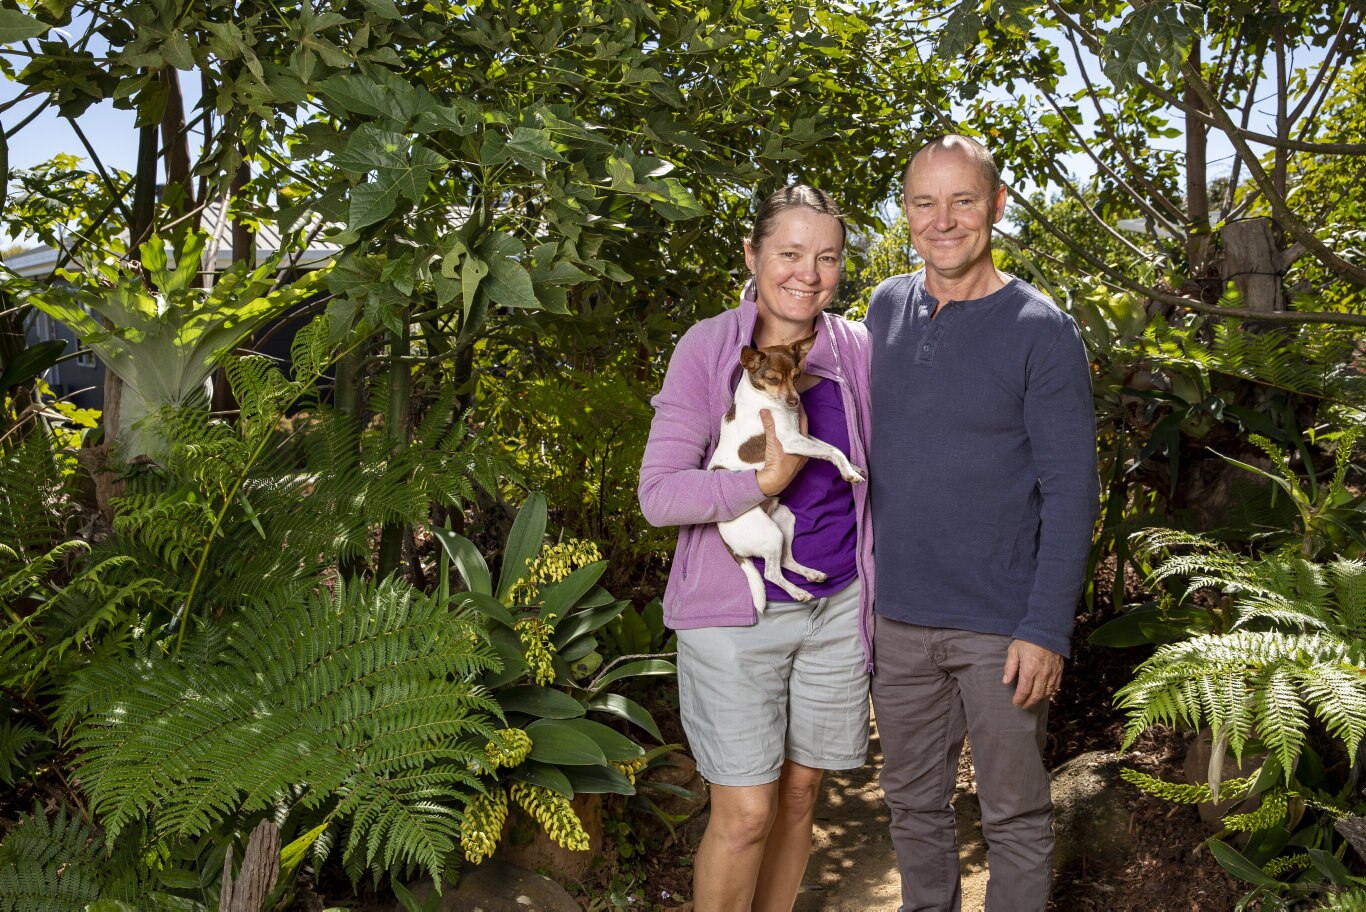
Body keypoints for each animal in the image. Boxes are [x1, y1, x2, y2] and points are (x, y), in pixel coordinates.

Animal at [704, 334, 863, 611]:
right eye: (773, 379)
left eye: (797, 375)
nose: (794, 401)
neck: (763, 398)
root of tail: (722, 532)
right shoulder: (790, 442)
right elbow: (832, 451)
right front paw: (849, 473)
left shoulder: (802, 436)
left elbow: (831, 448)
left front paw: (852, 466)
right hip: (769, 534)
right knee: (771, 573)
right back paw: (798, 593)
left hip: (784, 521)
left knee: (785, 561)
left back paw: (811, 574)